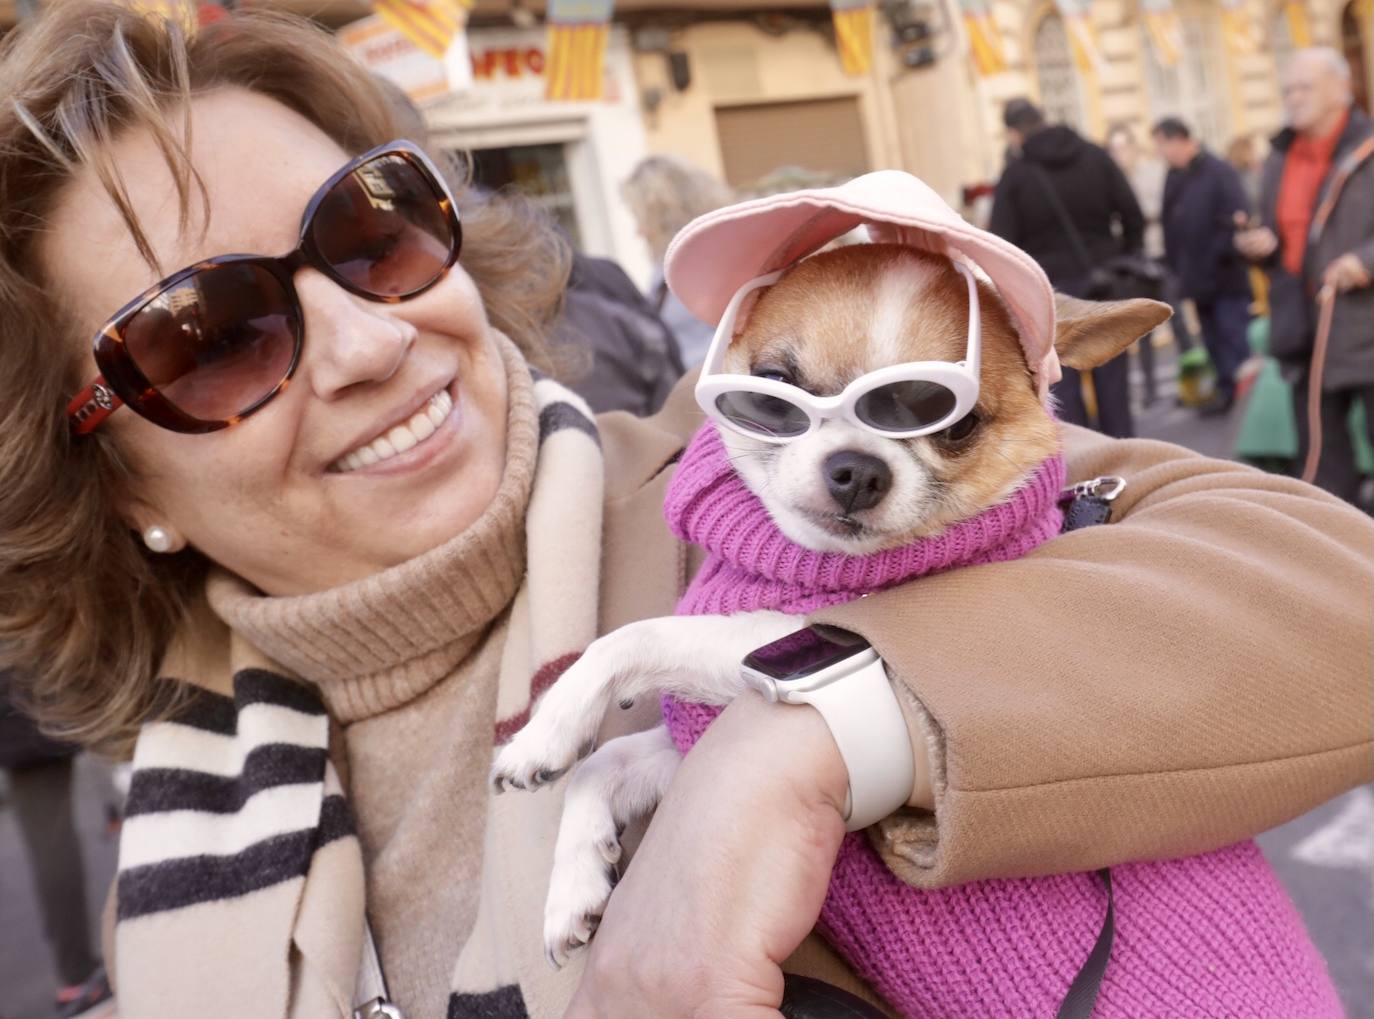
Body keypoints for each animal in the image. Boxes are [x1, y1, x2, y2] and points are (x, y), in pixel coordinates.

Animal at [489, 243, 1165, 972]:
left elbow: (633, 637)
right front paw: (572, 886)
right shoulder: (697, 734)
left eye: (957, 424)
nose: (860, 470)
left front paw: (544, 729)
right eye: (773, 387)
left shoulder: (781, 639)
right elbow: (602, 764)